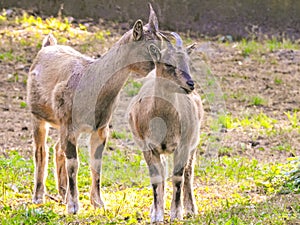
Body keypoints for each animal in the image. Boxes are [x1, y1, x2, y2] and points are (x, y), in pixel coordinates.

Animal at [27, 4, 166, 214]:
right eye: (150, 47)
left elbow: (96, 163)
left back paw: (62, 193)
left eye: (161, 43)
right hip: (38, 115)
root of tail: (47, 46)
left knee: (58, 148)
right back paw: (38, 197)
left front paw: (99, 203)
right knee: (41, 151)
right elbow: (74, 164)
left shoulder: (100, 126)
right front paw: (74, 206)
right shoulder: (69, 122)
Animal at [127, 32, 203, 222]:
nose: (190, 84)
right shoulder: (148, 147)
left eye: (187, 62)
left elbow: (178, 177)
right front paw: (157, 215)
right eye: (168, 63)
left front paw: (177, 214)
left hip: (194, 143)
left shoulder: (182, 145)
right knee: (163, 172)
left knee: (189, 172)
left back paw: (191, 208)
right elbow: (156, 178)